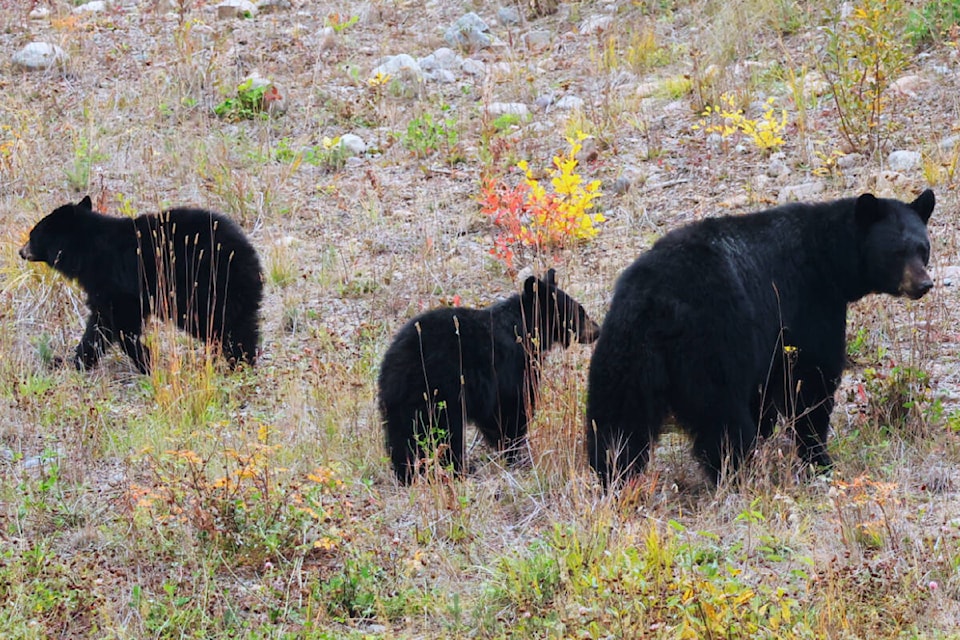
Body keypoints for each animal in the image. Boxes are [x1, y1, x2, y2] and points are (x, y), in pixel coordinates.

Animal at [21, 198, 262, 372]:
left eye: (32, 235)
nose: (21, 251)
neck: (86, 250)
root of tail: (248, 256)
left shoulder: (115, 284)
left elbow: (119, 324)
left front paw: (146, 361)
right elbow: (100, 326)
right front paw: (71, 361)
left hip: (204, 289)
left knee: (222, 326)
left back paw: (237, 362)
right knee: (243, 324)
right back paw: (244, 360)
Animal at [376, 268, 596, 482]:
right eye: (580, 312)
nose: (597, 330)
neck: (524, 326)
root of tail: (398, 364)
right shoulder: (512, 366)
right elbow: (514, 407)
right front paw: (513, 452)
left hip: (399, 404)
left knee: (401, 436)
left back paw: (406, 473)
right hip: (441, 393)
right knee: (447, 433)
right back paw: (459, 469)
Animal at [588, 190, 932, 484]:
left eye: (923, 248)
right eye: (897, 251)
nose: (924, 284)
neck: (826, 256)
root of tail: (657, 303)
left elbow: (767, 392)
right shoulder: (807, 304)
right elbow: (811, 380)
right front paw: (818, 458)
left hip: (626, 351)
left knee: (617, 419)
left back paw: (612, 474)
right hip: (711, 344)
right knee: (721, 416)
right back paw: (738, 472)